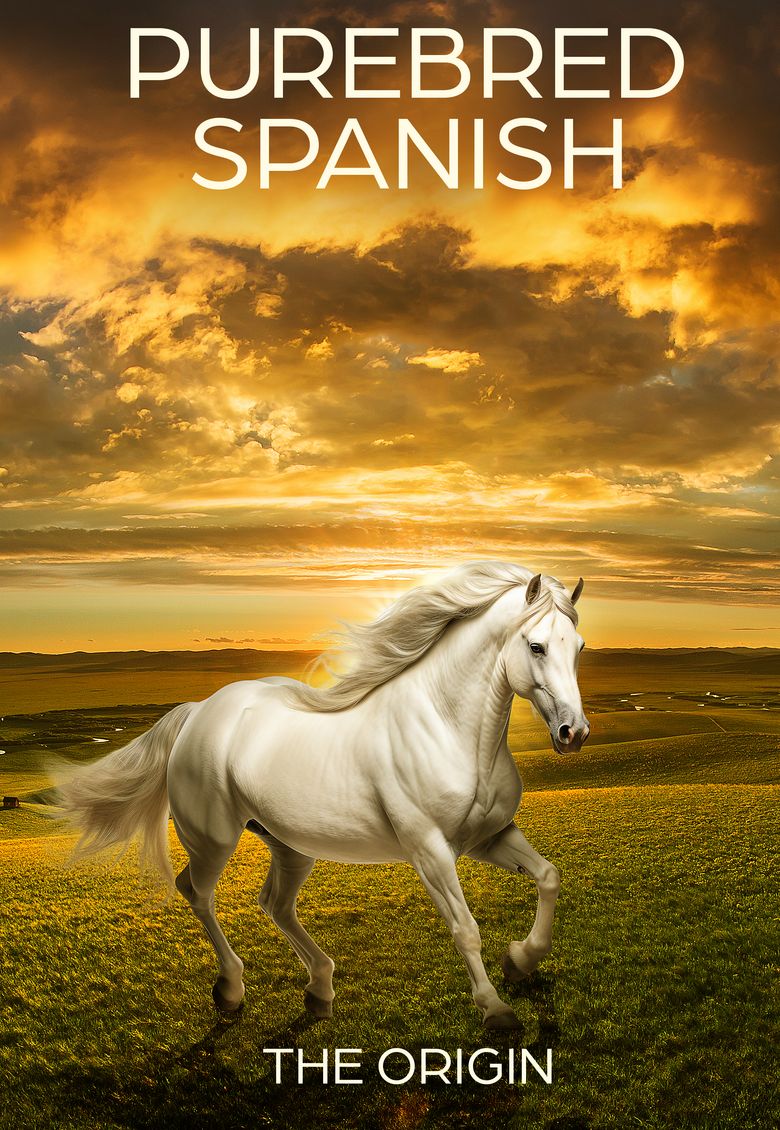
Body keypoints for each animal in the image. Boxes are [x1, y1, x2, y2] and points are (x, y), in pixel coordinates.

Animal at [62, 561, 589, 1031]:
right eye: (537, 646)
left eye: (579, 646)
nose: (574, 732)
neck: (447, 729)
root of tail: (198, 711)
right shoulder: (430, 851)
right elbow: (465, 928)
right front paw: (495, 1009)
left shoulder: (488, 836)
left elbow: (549, 877)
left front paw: (521, 960)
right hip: (212, 840)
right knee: (197, 891)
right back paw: (231, 989)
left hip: (288, 844)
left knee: (274, 903)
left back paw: (319, 989)